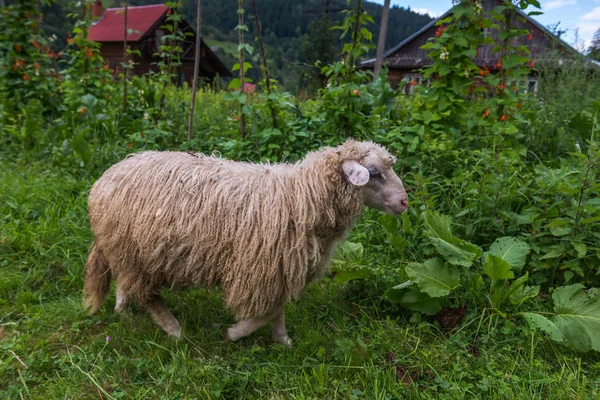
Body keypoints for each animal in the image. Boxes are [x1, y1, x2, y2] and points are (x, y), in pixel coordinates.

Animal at [83, 139, 408, 346]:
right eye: (374, 173)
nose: (405, 202)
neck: (302, 196)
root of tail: (104, 180)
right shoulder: (259, 268)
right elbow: (265, 313)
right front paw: (235, 333)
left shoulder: (280, 268)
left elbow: (277, 309)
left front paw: (283, 340)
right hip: (136, 251)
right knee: (147, 294)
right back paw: (173, 329)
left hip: (129, 250)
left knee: (125, 282)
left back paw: (122, 311)